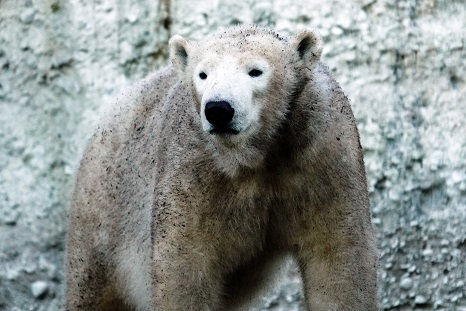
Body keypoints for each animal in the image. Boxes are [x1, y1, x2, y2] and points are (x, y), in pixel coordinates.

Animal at [65, 25, 378, 310]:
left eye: (255, 71)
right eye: (203, 74)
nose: (219, 109)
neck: (255, 156)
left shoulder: (322, 158)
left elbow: (338, 256)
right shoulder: (193, 169)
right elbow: (184, 265)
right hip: (103, 209)